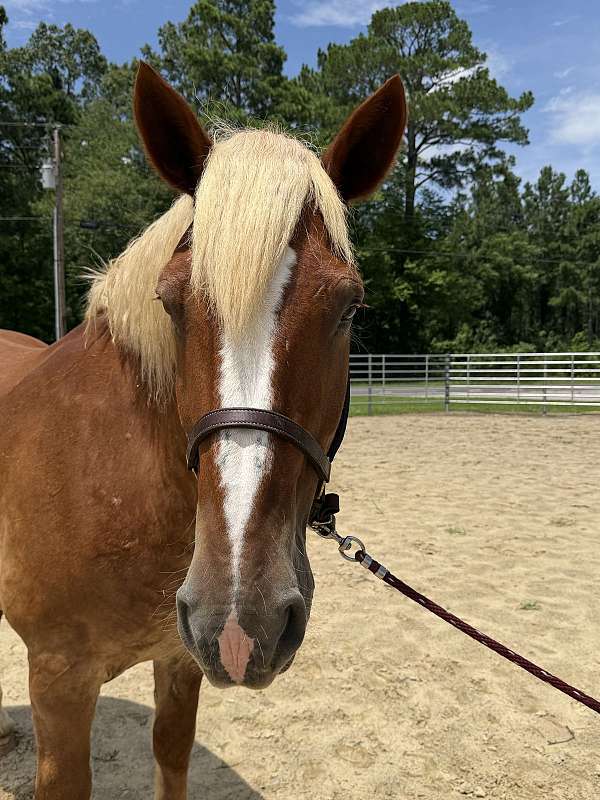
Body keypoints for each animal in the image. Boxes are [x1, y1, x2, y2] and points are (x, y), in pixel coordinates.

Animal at [0, 63, 407, 799]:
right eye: (170, 303)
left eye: (349, 307)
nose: (246, 621)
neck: (110, 472)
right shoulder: (58, 681)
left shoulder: (181, 657)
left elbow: (171, 750)